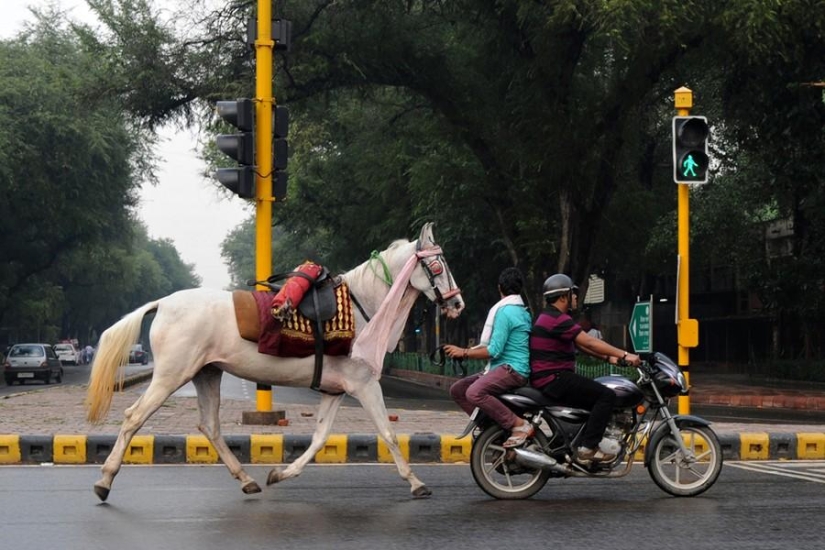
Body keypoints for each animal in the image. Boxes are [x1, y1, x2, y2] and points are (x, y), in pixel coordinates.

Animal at [88, 225, 464, 504]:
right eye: (437, 265)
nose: (457, 302)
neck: (362, 307)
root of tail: (163, 303)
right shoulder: (365, 384)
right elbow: (387, 432)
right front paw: (415, 482)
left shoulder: (335, 390)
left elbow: (320, 437)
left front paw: (281, 473)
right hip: (171, 375)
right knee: (134, 417)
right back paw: (105, 481)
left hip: (206, 373)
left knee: (210, 426)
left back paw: (246, 479)